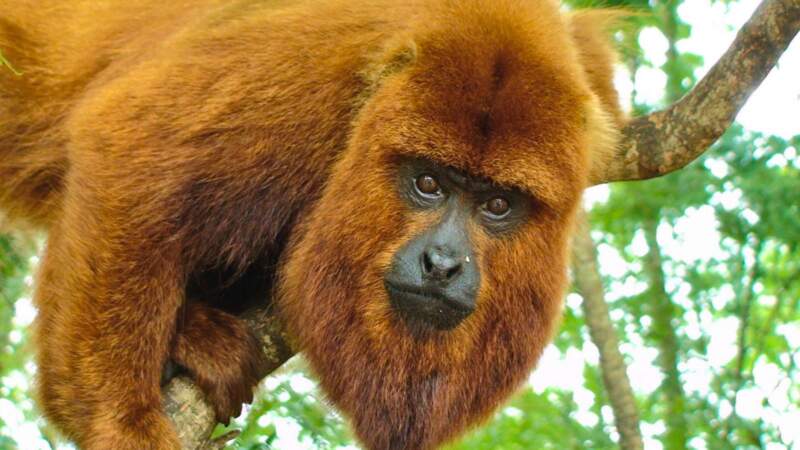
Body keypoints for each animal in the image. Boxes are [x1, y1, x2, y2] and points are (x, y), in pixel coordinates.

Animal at [0, 0, 624, 449]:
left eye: (497, 205)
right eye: (428, 183)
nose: (442, 264)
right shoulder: (312, 69)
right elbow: (125, 143)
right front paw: (121, 424)